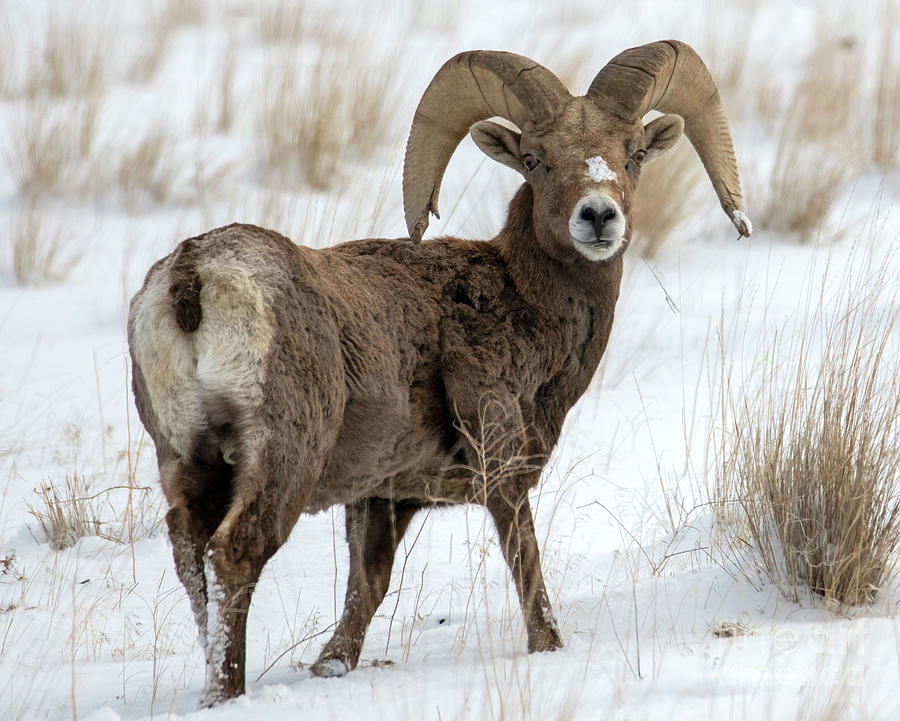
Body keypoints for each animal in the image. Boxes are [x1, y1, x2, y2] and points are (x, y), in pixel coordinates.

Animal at [125, 39, 744, 704]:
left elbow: (364, 594)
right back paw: (228, 693)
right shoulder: (501, 472)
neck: (520, 300)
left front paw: (330, 668)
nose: (598, 217)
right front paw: (549, 650)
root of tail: (194, 278)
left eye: (633, 154)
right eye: (535, 159)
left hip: (187, 461)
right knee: (234, 554)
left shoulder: (381, 498)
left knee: (191, 557)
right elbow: (526, 568)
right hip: (281, 461)